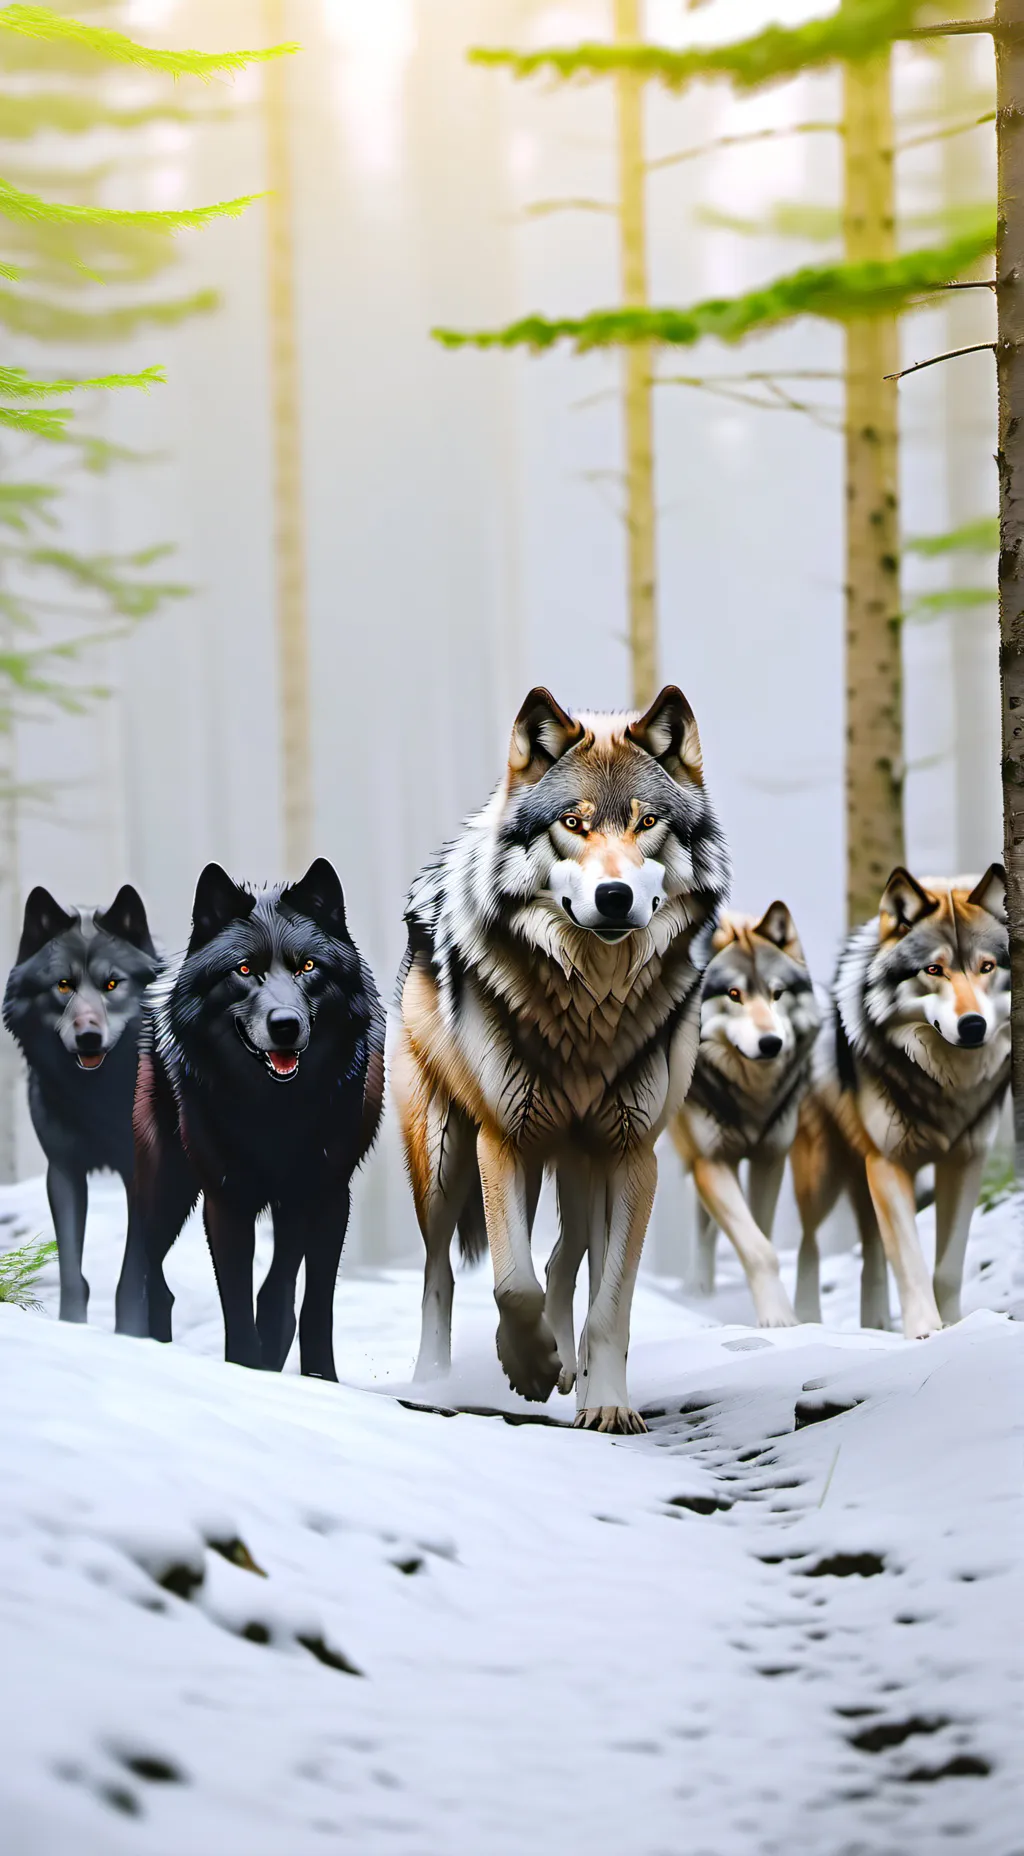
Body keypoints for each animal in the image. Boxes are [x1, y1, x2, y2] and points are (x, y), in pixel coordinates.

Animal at [3, 883, 161, 1325]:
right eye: (63, 984)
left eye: (112, 984)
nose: (89, 1036)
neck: (98, 1099)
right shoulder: (64, 1171)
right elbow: (73, 1272)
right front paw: (72, 1326)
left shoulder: (139, 1174)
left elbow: (131, 1278)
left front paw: (131, 1332)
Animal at [121, 859, 384, 1376]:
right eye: (244, 970)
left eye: (308, 967)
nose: (285, 1025)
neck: (274, 1112)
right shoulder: (227, 1201)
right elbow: (237, 1304)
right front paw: (244, 1368)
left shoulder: (328, 1197)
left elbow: (312, 1304)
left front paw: (319, 1378)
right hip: (165, 1189)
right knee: (143, 1274)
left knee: (275, 1289)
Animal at [391, 685, 729, 1433]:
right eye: (573, 823)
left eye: (648, 821)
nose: (614, 896)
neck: (590, 1008)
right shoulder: (503, 1141)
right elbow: (509, 1282)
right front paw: (528, 1366)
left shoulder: (633, 1155)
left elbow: (611, 1302)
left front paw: (606, 1402)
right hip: (445, 1157)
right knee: (439, 1271)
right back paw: (434, 1382)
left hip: (583, 1161)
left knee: (568, 1258)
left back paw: (577, 1374)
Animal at [669, 903, 820, 1326]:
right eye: (734, 994)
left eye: (777, 994)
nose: (771, 1043)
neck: (752, 1096)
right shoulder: (710, 1161)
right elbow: (757, 1247)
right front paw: (779, 1320)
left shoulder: (770, 1159)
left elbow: (761, 1233)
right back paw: (697, 1287)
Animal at [790, 866, 1010, 1338]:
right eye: (934, 969)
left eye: (986, 967)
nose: (973, 1025)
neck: (946, 1086)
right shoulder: (889, 1163)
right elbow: (909, 1259)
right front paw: (925, 1331)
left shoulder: (965, 1162)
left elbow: (947, 1265)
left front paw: (956, 1325)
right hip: (822, 1177)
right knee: (808, 1245)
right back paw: (804, 1321)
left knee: (871, 1250)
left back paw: (874, 1324)